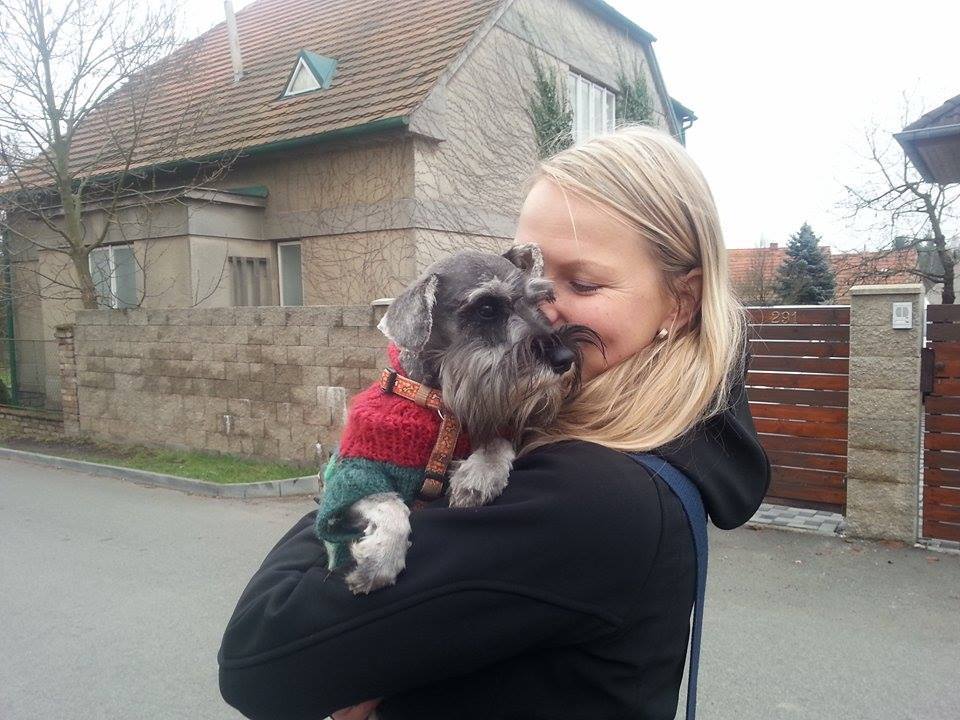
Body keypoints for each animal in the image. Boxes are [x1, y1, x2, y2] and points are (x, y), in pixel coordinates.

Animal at [314, 244, 600, 594]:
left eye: (539, 303)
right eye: (487, 308)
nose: (565, 358)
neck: (442, 407)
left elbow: (496, 441)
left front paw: (477, 476)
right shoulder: (352, 476)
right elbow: (390, 506)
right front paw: (380, 561)